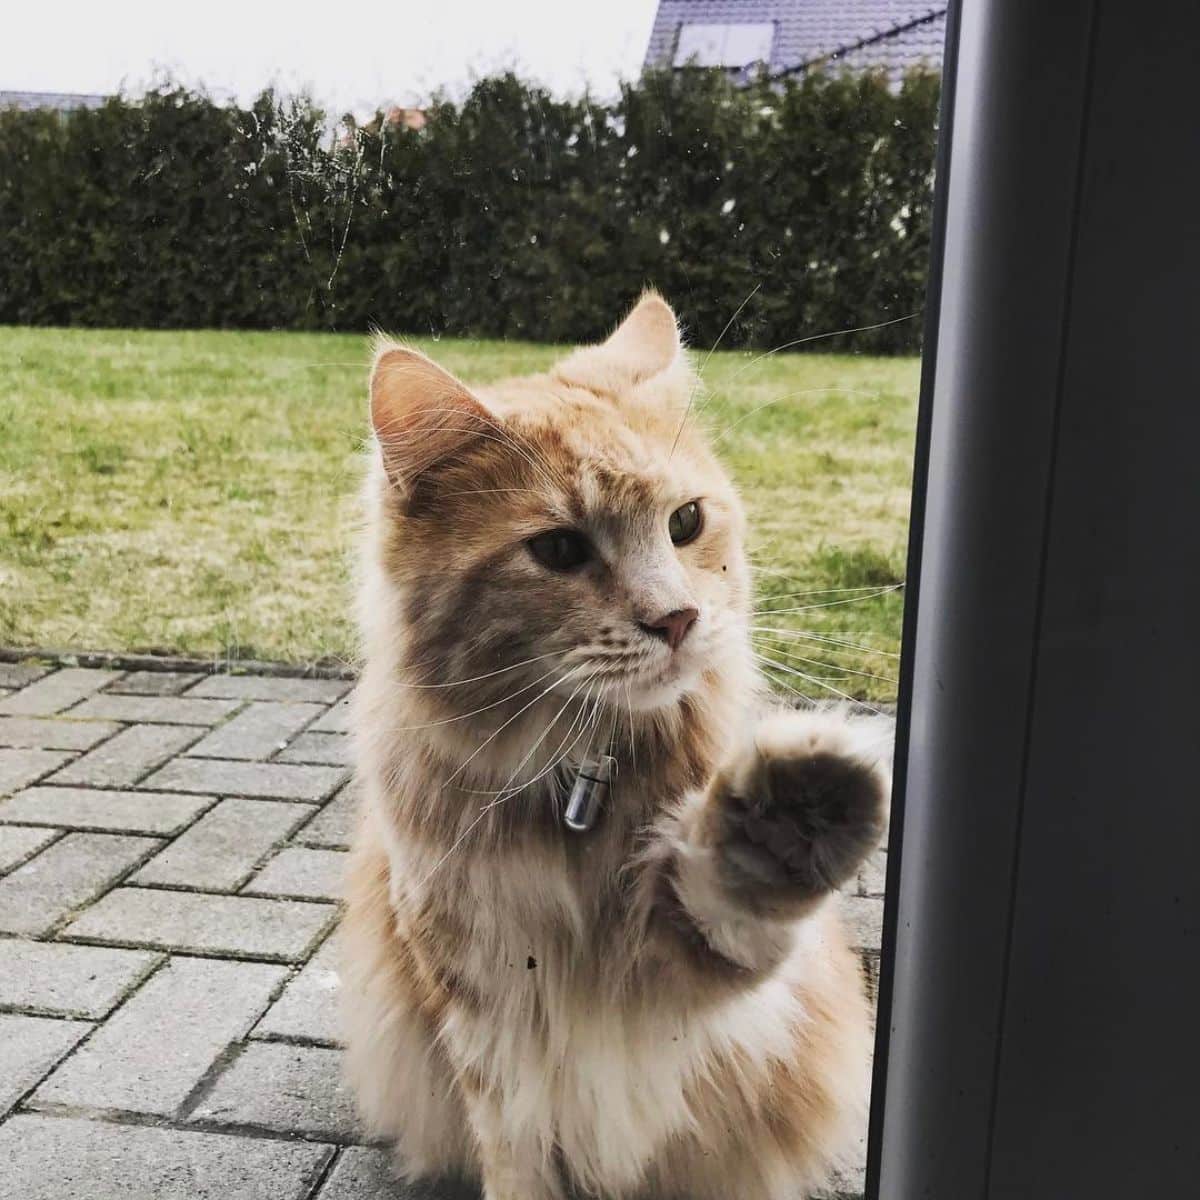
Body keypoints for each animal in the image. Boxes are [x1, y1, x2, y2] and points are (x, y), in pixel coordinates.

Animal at [343, 295, 888, 1200]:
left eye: (686, 522)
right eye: (560, 549)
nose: (677, 620)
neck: (576, 781)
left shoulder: (674, 989)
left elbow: (730, 907)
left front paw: (788, 818)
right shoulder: (482, 1009)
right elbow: (514, 1143)